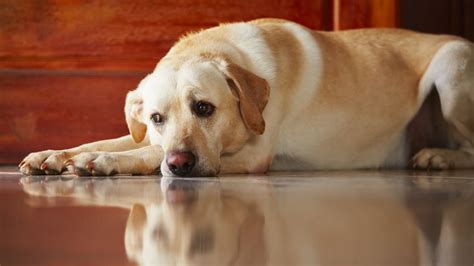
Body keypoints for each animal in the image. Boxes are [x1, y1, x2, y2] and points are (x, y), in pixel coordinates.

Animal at [18, 18, 474, 177]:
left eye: (204, 108)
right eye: (155, 118)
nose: (180, 164)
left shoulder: (253, 154)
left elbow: (144, 154)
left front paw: (103, 161)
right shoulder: (143, 134)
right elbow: (106, 140)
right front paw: (52, 155)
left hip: (451, 68)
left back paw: (439, 157)